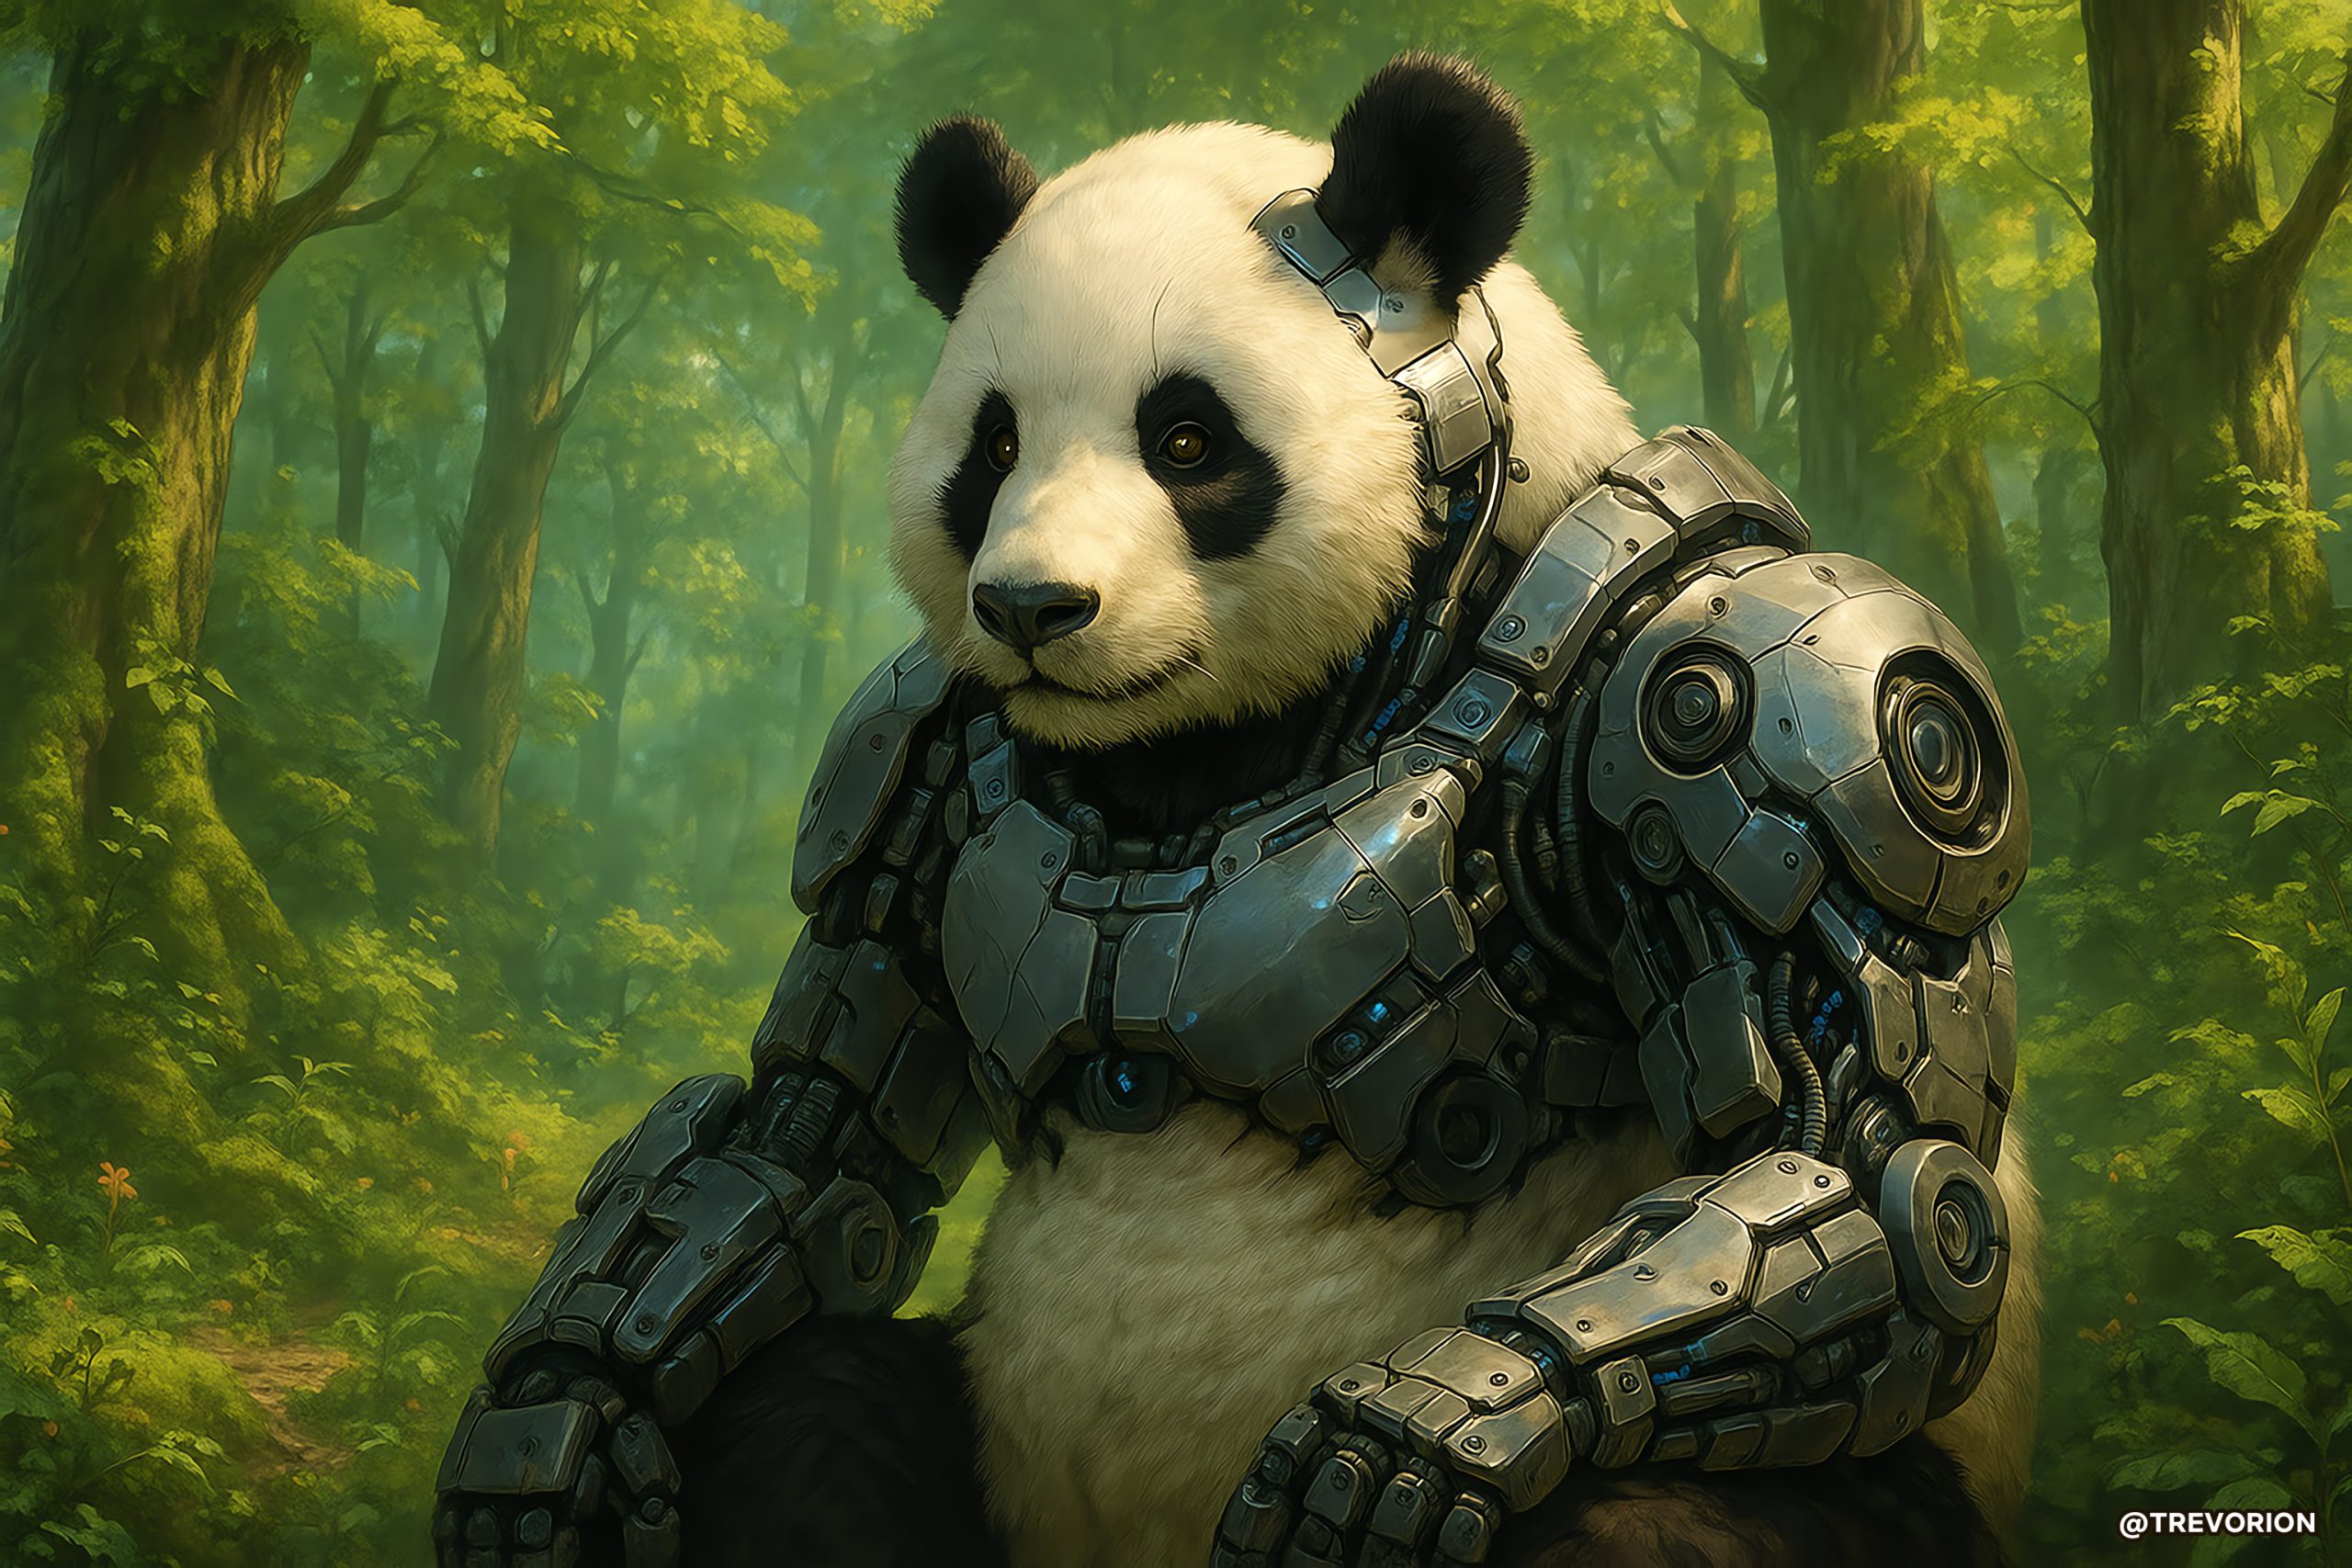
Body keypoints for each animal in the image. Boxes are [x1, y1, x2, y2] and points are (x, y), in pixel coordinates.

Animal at [435, 53, 2040, 1568]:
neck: (1207, 752)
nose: (1030, 608)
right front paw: (550, 1426)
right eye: (993, 446)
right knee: (802, 1417)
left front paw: (1401, 1434)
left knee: (1658, 1510)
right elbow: (809, 1134)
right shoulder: (908, 759)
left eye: (1189, 439)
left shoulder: (1720, 695)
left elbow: (1869, 1171)